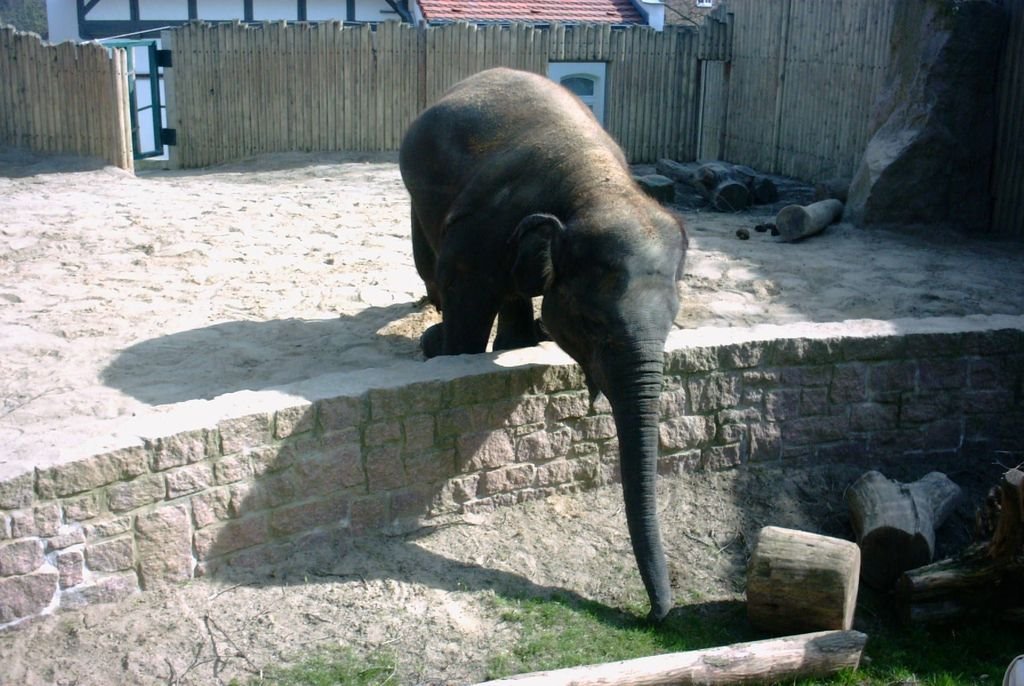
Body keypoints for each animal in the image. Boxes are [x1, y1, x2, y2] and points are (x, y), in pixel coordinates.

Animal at [399, 67, 688, 622]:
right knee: (427, 257)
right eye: (595, 323)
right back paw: (432, 333)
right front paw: (449, 354)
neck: (593, 185)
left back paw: (519, 338)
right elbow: (465, 301)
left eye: (673, 322)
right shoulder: (478, 235)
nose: (655, 615)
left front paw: (525, 341)